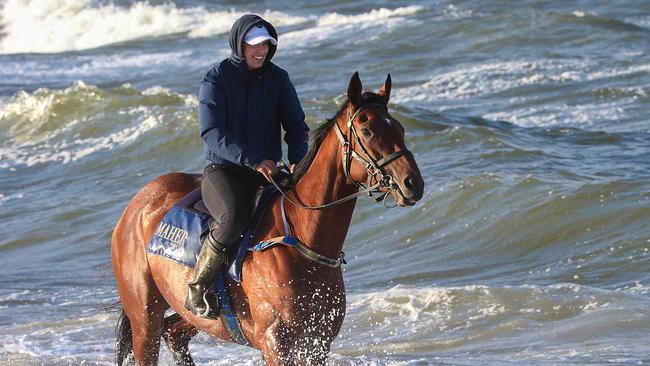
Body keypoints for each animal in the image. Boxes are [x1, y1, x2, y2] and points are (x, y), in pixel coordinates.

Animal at [111, 72, 426, 366]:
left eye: (399, 127)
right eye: (368, 130)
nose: (412, 183)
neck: (302, 241)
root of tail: (136, 206)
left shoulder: (317, 343)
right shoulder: (276, 344)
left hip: (194, 316)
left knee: (174, 333)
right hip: (144, 316)